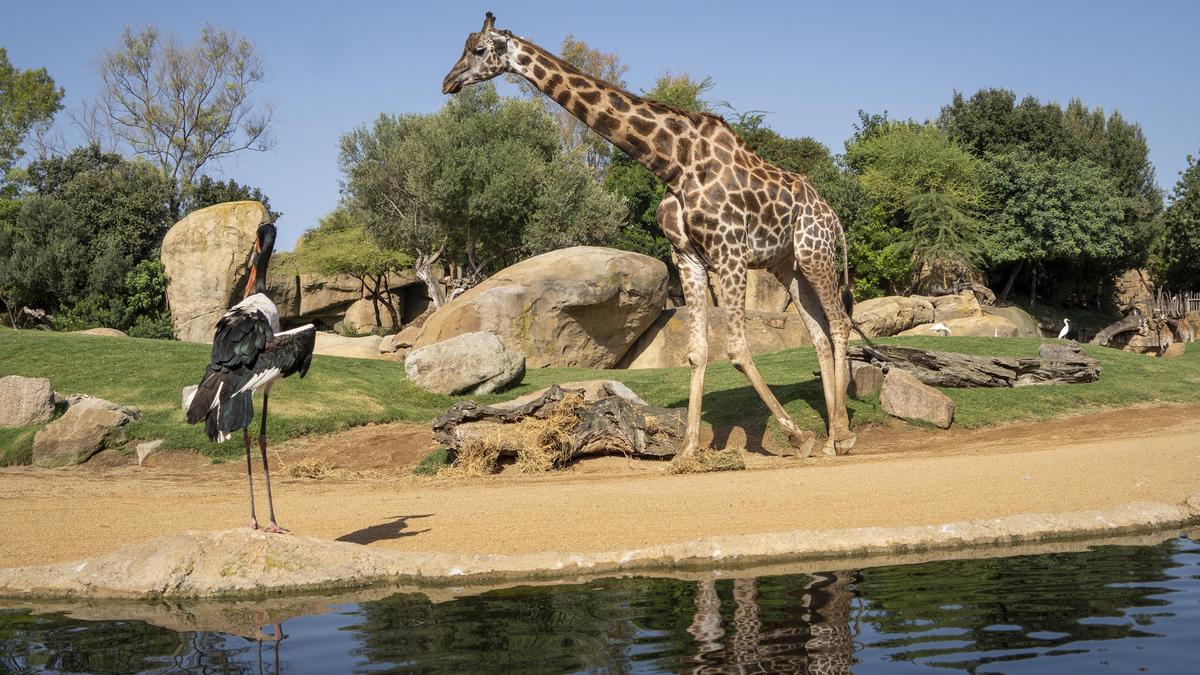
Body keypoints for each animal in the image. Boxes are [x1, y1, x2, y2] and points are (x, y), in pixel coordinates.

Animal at [446, 11, 859, 456]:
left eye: (478, 50)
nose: (448, 81)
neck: (674, 165)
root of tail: (832, 215)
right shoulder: (688, 256)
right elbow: (697, 352)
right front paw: (688, 449)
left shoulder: (728, 250)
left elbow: (736, 348)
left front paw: (798, 436)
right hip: (787, 264)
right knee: (818, 333)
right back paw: (832, 434)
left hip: (815, 252)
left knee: (839, 323)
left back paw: (843, 434)